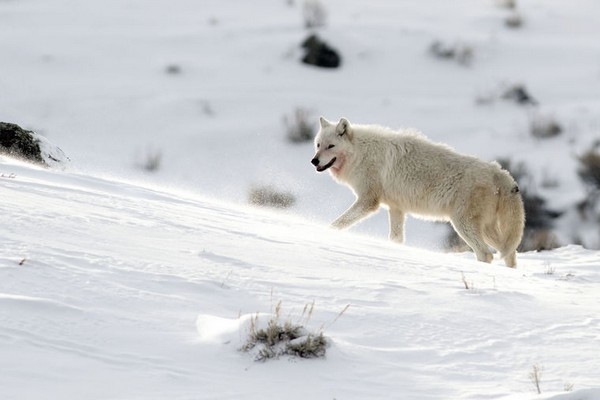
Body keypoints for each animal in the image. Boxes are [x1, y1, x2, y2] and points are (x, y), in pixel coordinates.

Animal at [312, 119, 524, 268]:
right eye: (318, 145)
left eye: (330, 146)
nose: (314, 161)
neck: (361, 153)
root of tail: (500, 172)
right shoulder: (396, 208)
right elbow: (396, 239)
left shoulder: (368, 201)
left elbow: (339, 222)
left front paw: (324, 231)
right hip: (487, 229)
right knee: (510, 253)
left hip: (463, 224)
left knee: (486, 254)